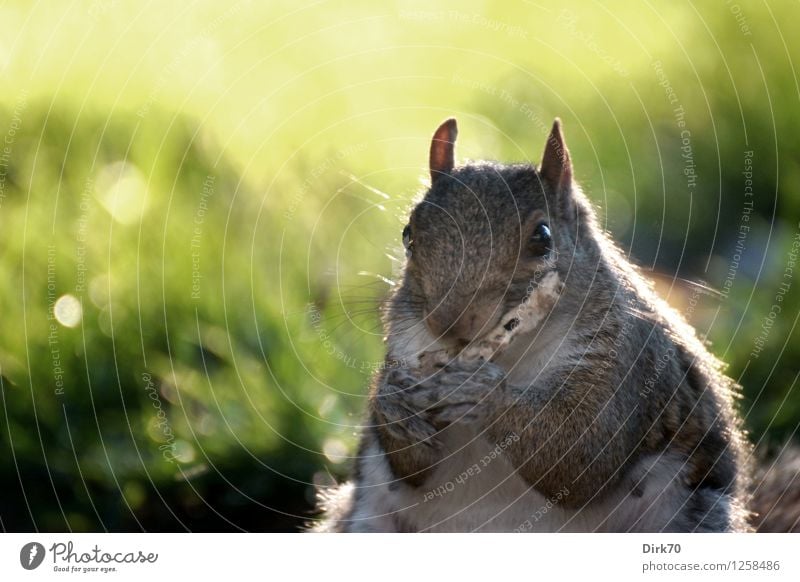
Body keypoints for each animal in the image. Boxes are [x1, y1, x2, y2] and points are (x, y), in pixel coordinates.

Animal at [312, 117, 756, 532]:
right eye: (408, 235)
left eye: (543, 237)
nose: (448, 323)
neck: (510, 354)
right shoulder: (406, 344)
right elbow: (412, 465)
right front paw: (393, 402)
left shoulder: (624, 363)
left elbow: (578, 452)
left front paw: (481, 392)